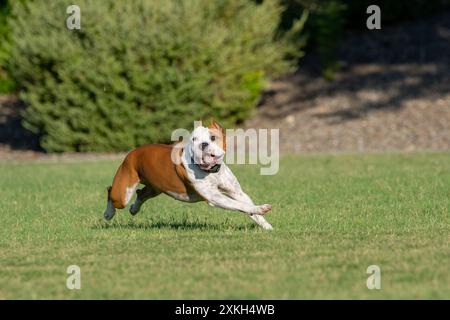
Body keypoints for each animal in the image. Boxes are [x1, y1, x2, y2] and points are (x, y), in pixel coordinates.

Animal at [104, 120, 274, 230]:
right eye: (194, 139)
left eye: (213, 137)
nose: (203, 144)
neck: (210, 170)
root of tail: (132, 153)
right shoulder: (215, 197)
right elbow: (240, 205)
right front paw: (261, 209)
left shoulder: (237, 192)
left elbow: (247, 207)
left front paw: (266, 225)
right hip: (123, 193)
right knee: (111, 190)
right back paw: (108, 214)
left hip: (155, 188)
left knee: (141, 193)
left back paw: (134, 209)